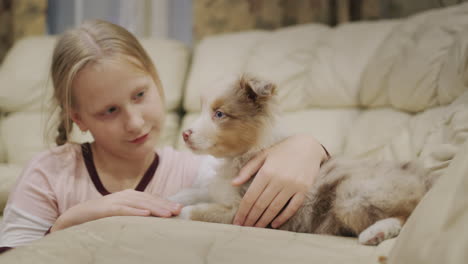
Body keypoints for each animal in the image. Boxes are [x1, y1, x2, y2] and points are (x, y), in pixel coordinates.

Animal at [171, 73, 436, 245]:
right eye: (203, 110)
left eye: (219, 114)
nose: (185, 134)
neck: (239, 156)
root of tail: (422, 178)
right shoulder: (221, 192)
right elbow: (197, 192)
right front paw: (174, 196)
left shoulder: (241, 210)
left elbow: (196, 211)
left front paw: (179, 211)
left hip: (352, 195)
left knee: (406, 216)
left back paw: (375, 233)